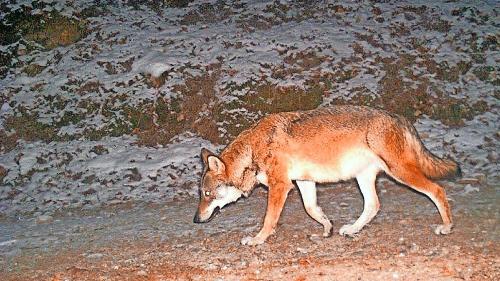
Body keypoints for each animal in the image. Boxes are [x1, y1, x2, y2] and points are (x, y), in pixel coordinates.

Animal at [192, 105, 460, 245]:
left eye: (207, 193)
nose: (195, 219)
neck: (252, 150)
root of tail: (400, 117)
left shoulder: (281, 186)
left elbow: (269, 220)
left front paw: (257, 240)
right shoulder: (303, 182)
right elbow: (312, 209)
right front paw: (327, 227)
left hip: (400, 173)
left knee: (437, 190)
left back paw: (446, 227)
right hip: (364, 178)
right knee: (373, 205)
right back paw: (351, 229)